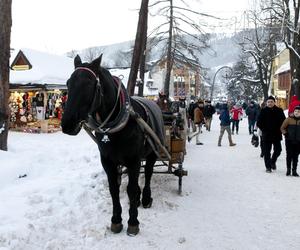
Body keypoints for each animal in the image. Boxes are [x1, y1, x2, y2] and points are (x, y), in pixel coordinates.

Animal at [60, 54, 164, 236]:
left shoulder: (134, 161)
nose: (67, 124)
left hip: (152, 153)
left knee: (148, 174)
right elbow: (114, 189)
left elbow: (130, 189)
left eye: (89, 84)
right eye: (68, 83)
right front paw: (116, 220)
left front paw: (133, 222)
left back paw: (145, 198)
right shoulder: (108, 161)